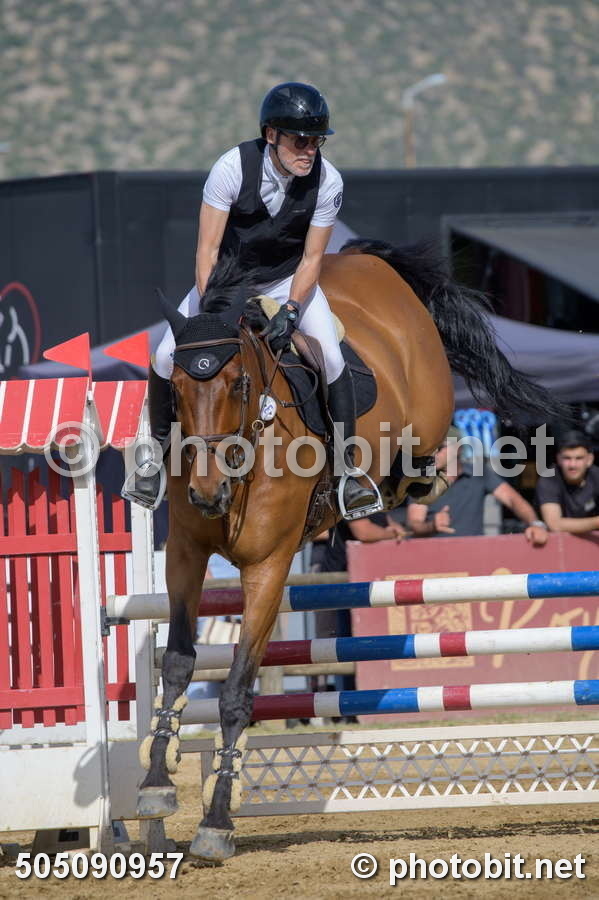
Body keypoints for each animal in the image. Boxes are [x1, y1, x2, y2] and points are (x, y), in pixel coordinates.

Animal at [136, 239, 567, 862]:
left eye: (238, 384)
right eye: (174, 388)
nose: (206, 493)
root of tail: (365, 260)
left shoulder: (268, 569)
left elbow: (237, 690)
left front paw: (217, 821)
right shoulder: (186, 557)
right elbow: (176, 661)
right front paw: (154, 786)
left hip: (427, 411)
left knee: (427, 452)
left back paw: (405, 482)